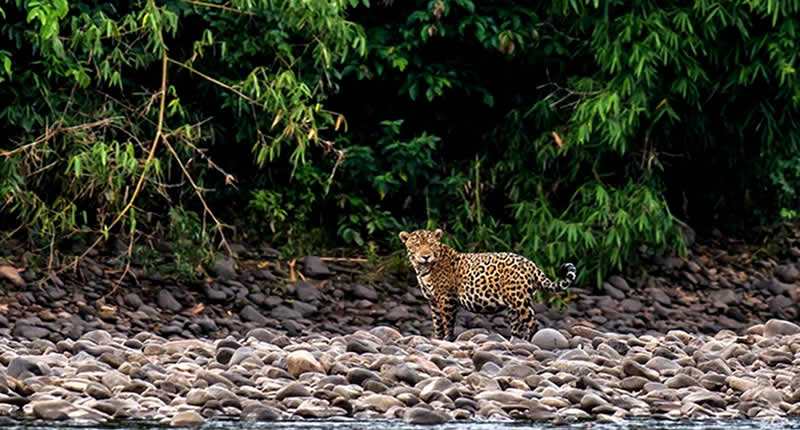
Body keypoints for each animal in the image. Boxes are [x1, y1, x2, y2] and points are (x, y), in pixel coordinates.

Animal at [399, 228, 577, 341]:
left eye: (431, 245)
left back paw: (529, 340)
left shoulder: (447, 299)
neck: (424, 269)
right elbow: (437, 323)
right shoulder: (434, 300)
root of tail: (531, 264)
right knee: (517, 327)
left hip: (519, 299)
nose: (426, 256)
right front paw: (437, 339)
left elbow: (447, 323)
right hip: (514, 305)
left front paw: (447, 340)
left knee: (533, 322)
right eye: (416, 245)